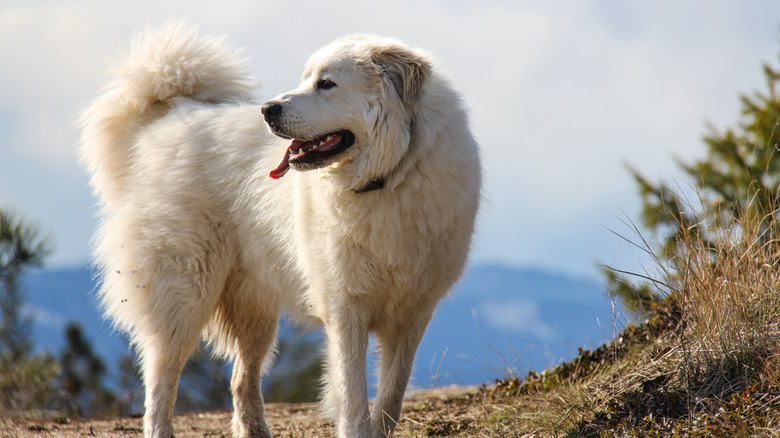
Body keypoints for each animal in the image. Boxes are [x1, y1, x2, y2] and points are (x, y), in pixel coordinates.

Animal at [79, 21, 482, 438]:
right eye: (306, 79)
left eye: (326, 84)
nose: (267, 109)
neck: (388, 177)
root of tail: (169, 118)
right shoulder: (345, 307)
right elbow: (353, 392)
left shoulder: (413, 313)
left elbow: (391, 396)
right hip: (184, 295)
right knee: (161, 380)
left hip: (255, 310)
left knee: (241, 378)